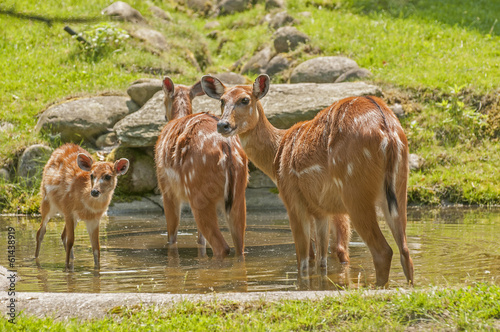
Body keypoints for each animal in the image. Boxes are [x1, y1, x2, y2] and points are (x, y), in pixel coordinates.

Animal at [154, 77, 248, 256]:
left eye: (163, 99)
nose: (163, 115)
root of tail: (226, 149)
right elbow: (200, 240)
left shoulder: (166, 189)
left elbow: (172, 237)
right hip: (239, 194)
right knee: (239, 247)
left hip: (199, 193)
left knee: (222, 247)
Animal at [202, 74, 414, 286]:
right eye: (222, 101)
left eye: (245, 100)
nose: (223, 125)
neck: (277, 156)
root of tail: (388, 131)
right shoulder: (320, 211)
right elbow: (321, 262)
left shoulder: (293, 200)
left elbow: (303, 262)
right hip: (399, 188)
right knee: (405, 252)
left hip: (355, 190)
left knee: (383, 251)